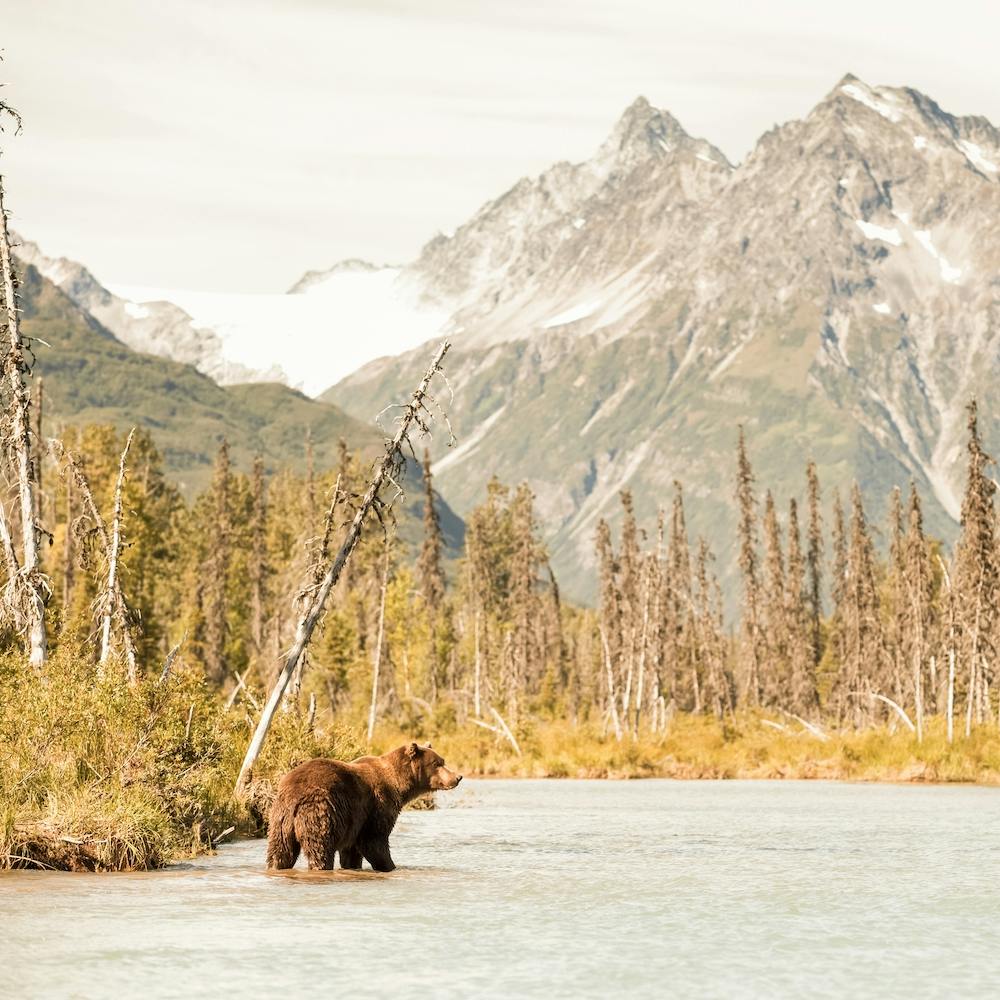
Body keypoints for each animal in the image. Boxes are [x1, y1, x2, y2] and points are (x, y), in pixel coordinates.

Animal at [265, 742, 462, 871]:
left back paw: (276, 867)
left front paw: (352, 866)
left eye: (442, 760)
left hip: (280, 820)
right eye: (437, 763)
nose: (458, 777)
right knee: (320, 849)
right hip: (320, 811)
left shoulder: (353, 822)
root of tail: (294, 795)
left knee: (280, 851)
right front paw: (390, 866)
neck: (399, 784)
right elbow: (374, 841)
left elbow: (351, 851)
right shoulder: (377, 805)